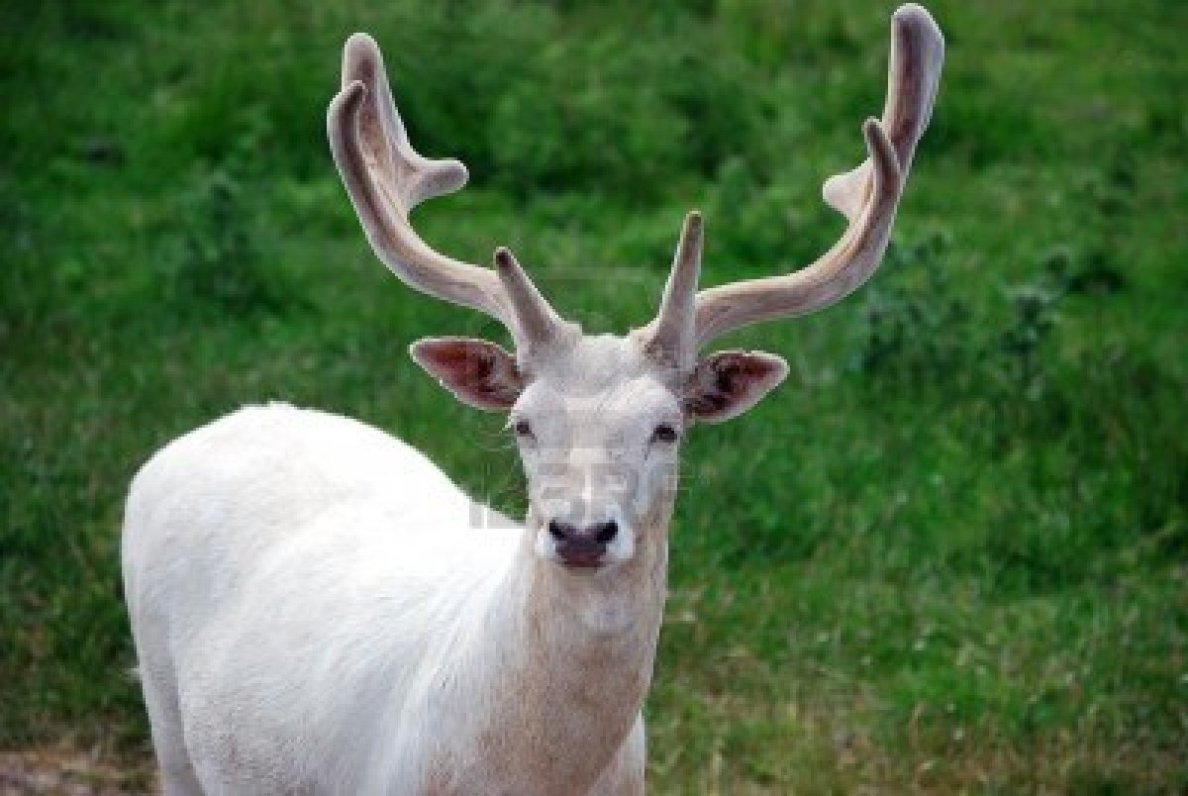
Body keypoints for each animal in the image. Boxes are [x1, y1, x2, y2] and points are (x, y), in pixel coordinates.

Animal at [121, 5, 943, 794]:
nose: (581, 532)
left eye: (667, 428)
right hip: (166, 714)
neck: (536, 774)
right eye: (523, 424)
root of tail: (221, 425)